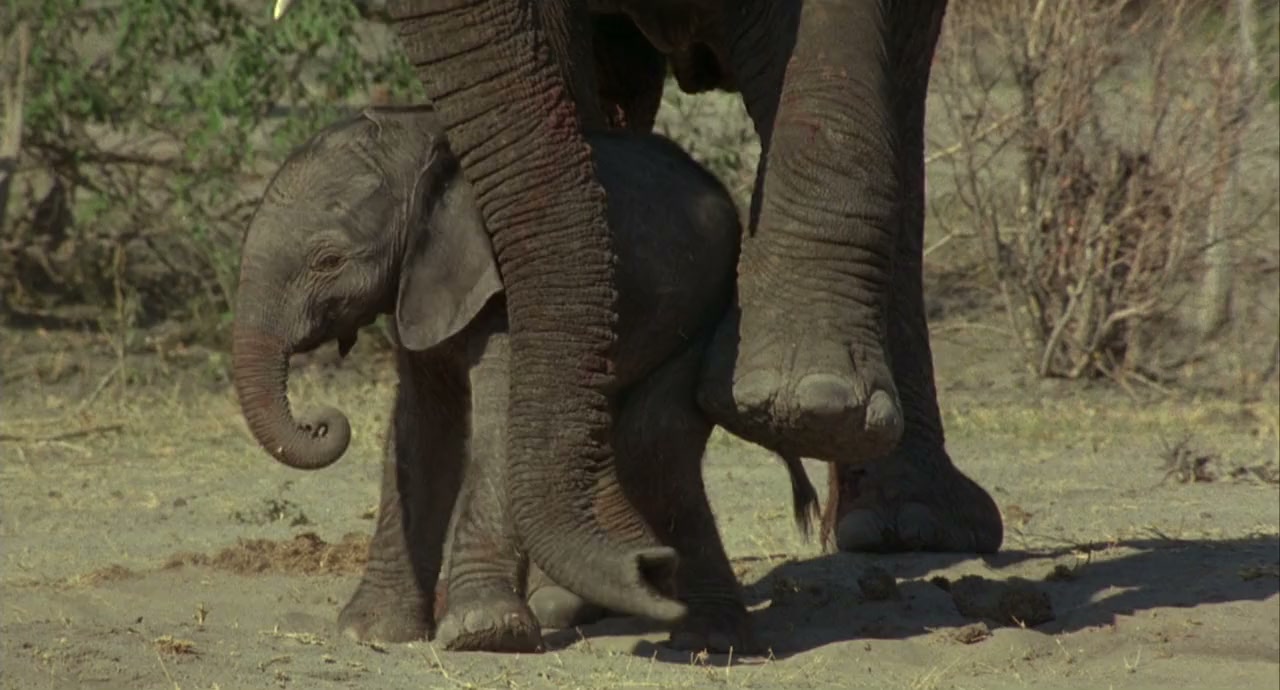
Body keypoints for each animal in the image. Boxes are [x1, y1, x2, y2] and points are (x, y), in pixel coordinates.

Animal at [231, 105, 820, 652]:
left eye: (328, 260)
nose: (322, 421)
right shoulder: (419, 286)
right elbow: (420, 433)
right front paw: (371, 631)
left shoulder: (501, 288)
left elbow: (498, 424)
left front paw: (482, 632)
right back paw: (609, 594)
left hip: (705, 303)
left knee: (653, 447)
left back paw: (700, 631)